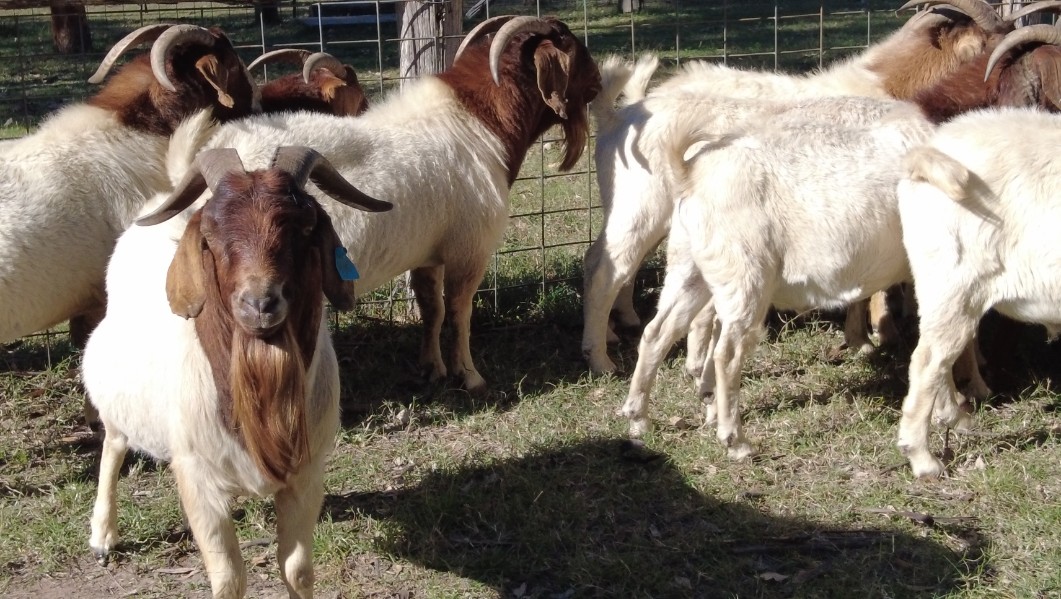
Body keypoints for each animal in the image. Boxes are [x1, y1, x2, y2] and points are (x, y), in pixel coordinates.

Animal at [83, 146, 391, 598]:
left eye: (304, 227)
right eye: (210, 234)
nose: (260, 303)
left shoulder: (307, 474)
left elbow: (297, 569)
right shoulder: (198, 479)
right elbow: (228, 578)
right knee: (113, 444)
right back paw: (103, 535)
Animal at [199, 15, 601, 392]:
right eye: (571, 46)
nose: (598, 82)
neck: (478, 122)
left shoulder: (427, 254)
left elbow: (432, 309)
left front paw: (432, 368)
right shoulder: (470, 249)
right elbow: (460, 312)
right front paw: (470, 376)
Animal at [581, 0, 1023, 376]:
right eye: (993, 47)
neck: (889, 86)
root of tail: (620, 116)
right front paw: (875, 336)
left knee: (605, 260)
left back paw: (621, 326)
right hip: (642, 206)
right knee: (606, 271)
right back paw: (601, 360)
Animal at [620, 99, 936, 458]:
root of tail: (690, 175)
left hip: (690, 267)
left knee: (656, 333)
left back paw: (639, 417)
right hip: (745, 274)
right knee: (726, 354)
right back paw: (735, 440)